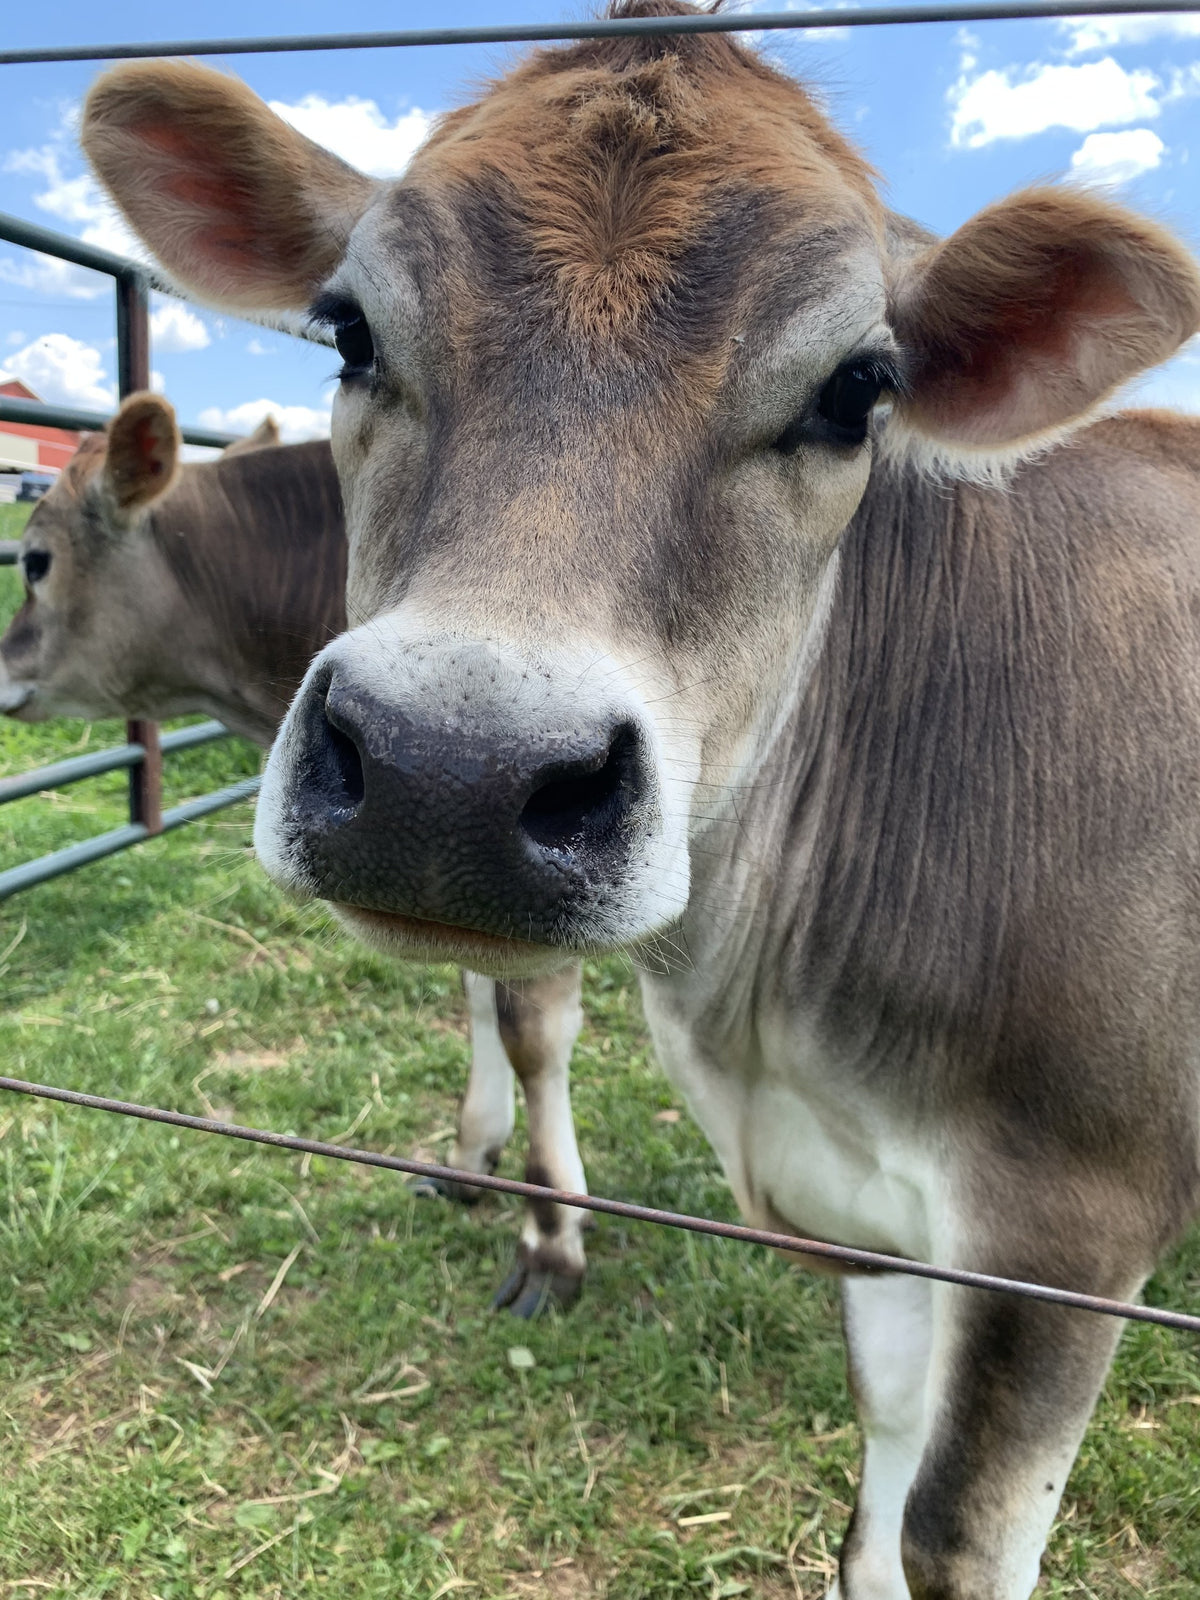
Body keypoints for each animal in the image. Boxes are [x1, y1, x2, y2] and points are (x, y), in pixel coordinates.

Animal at [0, 395, 591, 1316]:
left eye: (33, 561)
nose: (0, 671)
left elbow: (530, 1030)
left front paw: (551, 1237)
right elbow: (476, 994)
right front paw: (470, 1159)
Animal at [80, 1, 1200, 1594]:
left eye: (859, 388)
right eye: (348, 330)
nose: (449, 773)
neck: (781, 1040)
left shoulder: (1069, 1224)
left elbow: (948, 1538)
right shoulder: (877, 1219)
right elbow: (879, 1481)